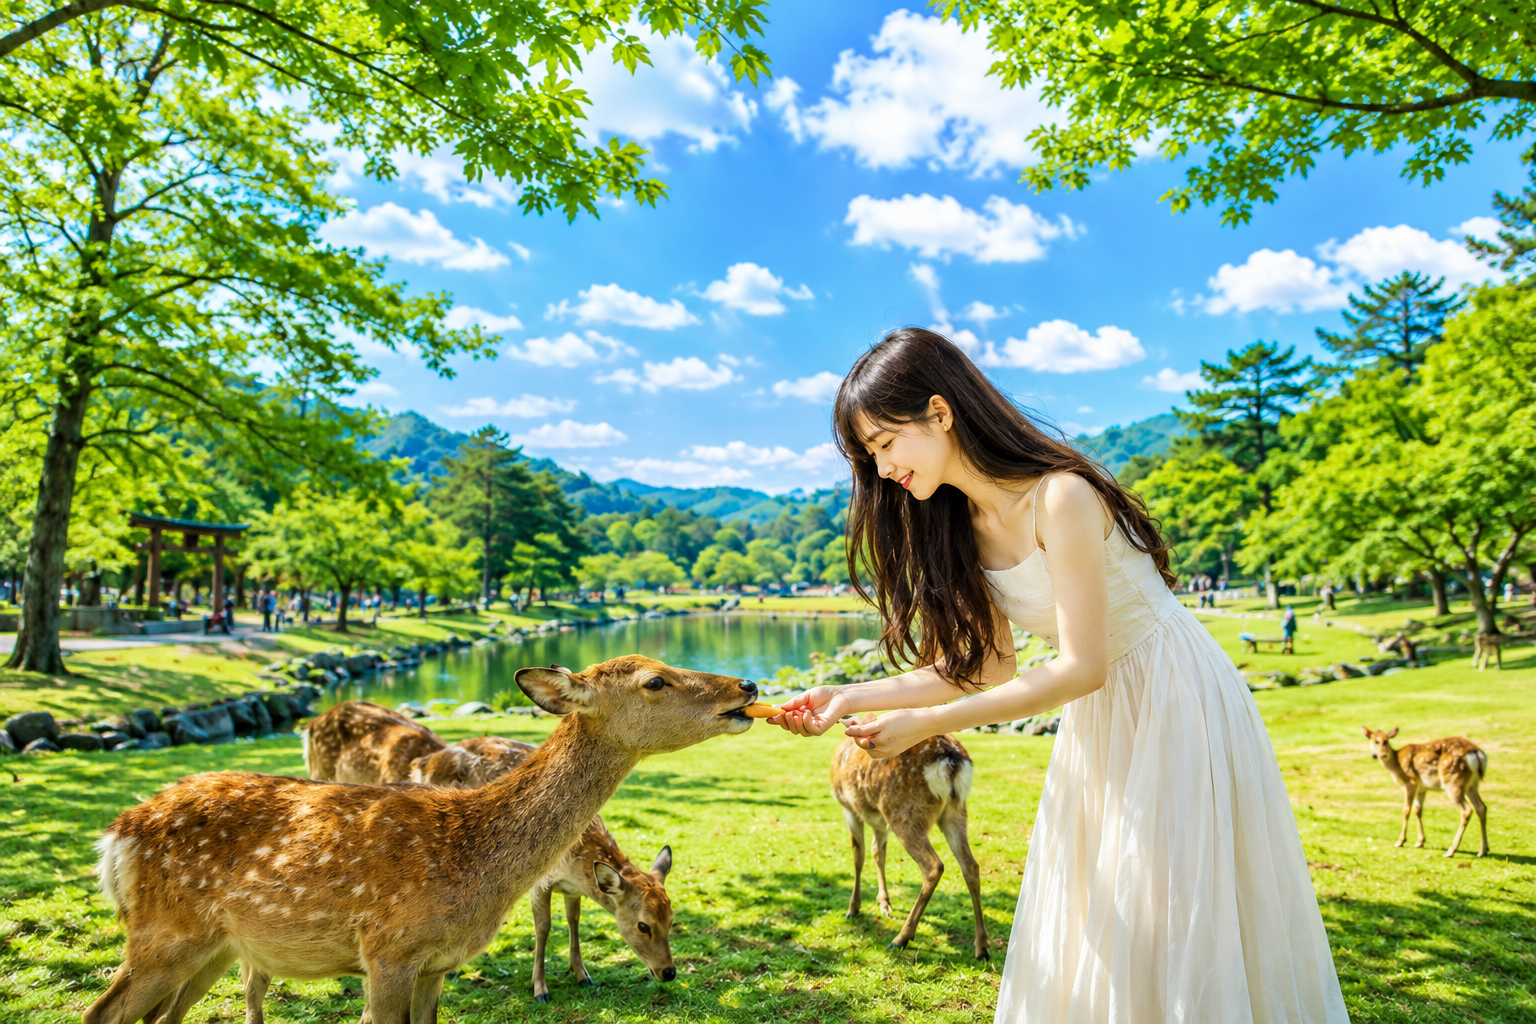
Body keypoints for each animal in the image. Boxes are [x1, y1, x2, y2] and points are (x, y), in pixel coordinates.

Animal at [84, 656, 760, 1024]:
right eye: (654, 681)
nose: (748, 686)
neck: (472, 861)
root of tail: (115, 839)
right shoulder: (387, 950)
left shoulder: (435, 963)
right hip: (164, 934)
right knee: (102, 1010)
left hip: (214, 948)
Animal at [830, 725, 988, 959]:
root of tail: (951, 760)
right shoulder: (879, 821)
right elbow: (878, 853)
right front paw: (884, 904)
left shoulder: (849, 808)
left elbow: (859, 855)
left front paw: (853, 909)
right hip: (955, 810)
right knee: (971, 865)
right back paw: (982, 947)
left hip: (903, 811)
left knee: (934, 866)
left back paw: (900, 939)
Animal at [1363, 726, 1490, 857]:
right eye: (1374, 741)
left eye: (1385, 741)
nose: (1381, 754)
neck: (1397, 764)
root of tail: (1476, 753)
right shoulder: (1421, 788)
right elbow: (1417, 810)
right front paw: (1419, 842)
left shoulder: (1411, 782)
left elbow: (1406, 810)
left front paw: (1400, 841)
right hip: (1472, 784)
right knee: (1481, 807)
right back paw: (1483, 850)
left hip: (1453, 779)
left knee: (1467, 810)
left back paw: (1451, 851)